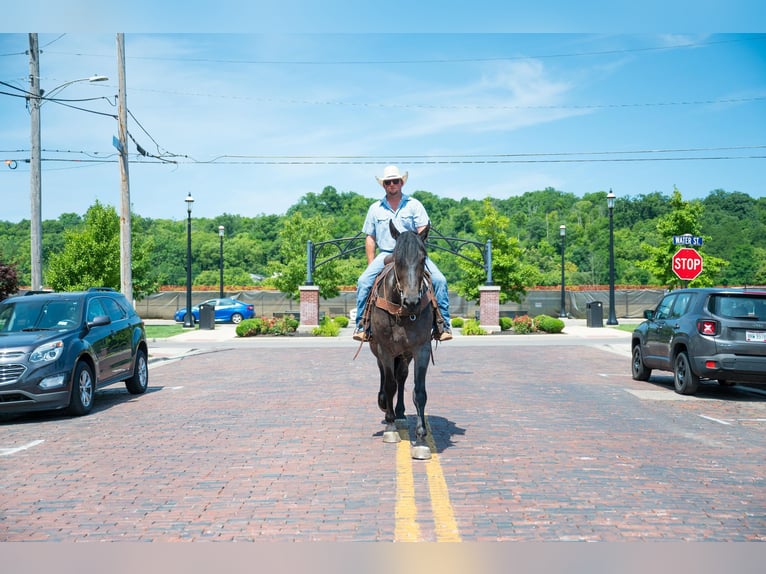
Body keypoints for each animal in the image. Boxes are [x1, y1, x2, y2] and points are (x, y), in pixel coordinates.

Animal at [372, 220, 438, 464]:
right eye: (397, 258)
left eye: (423, 257)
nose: (412, 300)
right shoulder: (384, 348)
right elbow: (389, 384)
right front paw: (390, 428)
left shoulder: (421, 349)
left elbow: (419, 391)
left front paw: (420, 440)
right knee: (386, 377)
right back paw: (386, 406)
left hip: (405, 354)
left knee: (401, 377)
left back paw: (400, 413)